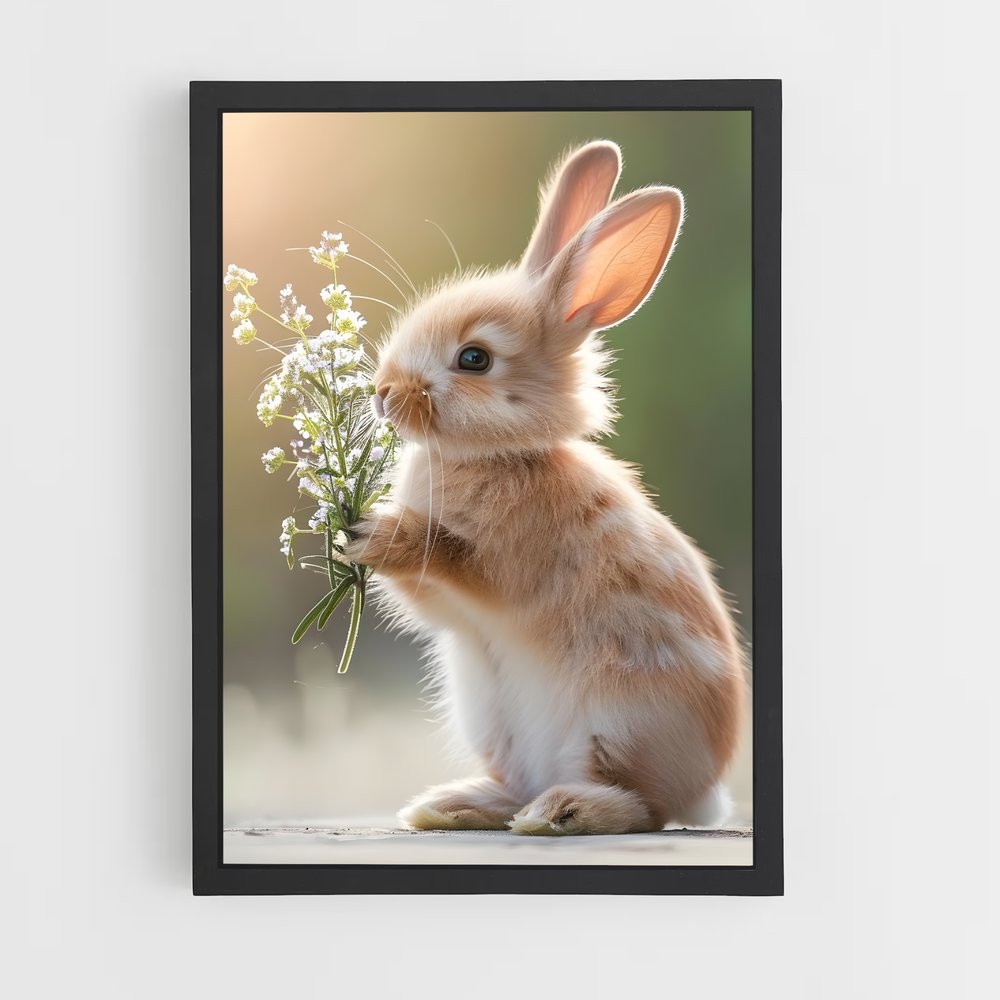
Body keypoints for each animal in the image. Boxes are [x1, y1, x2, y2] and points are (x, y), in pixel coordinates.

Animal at [345, 140, 747, 835]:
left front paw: (381, 532)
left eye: (474, 359)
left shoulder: (509, 565)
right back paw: (450, 806)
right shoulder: (449, 614)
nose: (384, 393)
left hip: (616, 720)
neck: (500, 456)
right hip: (490, 716)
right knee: (522, 787)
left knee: (640, 805)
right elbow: (430, 604)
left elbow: (463, 564)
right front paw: (355, 535)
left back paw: (559, 812)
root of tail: (706, 795)